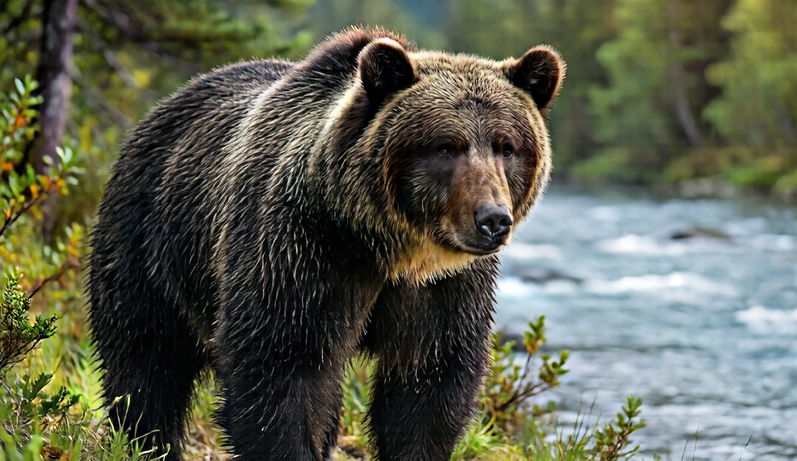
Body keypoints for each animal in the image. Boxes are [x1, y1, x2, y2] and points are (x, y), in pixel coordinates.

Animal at [88, 27, 564, 460]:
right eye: (446, 146)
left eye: (507, 147)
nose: (492, 220)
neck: (387, 247)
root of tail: (165, 105)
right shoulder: (302, 251)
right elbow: (280, 369)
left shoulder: (444, 288)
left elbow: (429, 382)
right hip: (148, 241)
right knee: (146, 360)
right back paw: (146, 442)